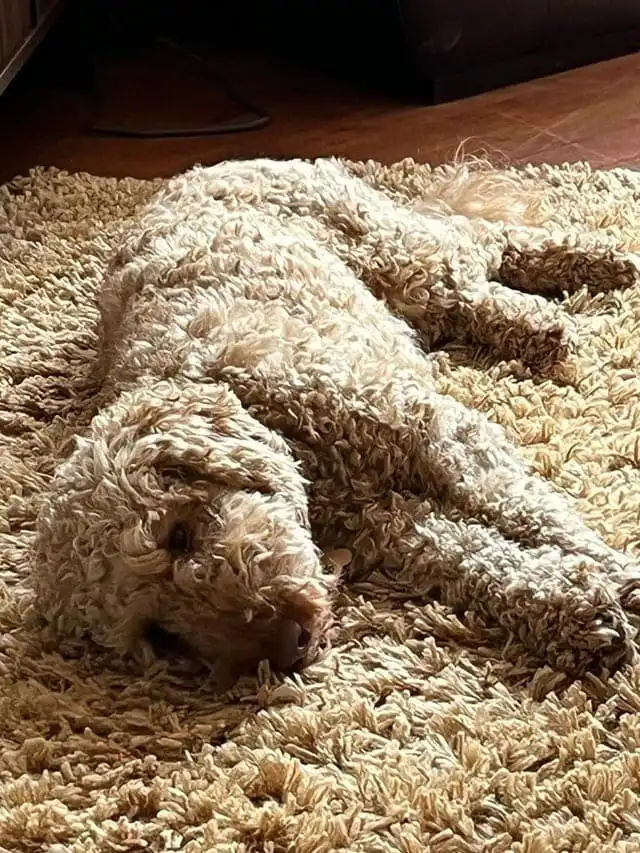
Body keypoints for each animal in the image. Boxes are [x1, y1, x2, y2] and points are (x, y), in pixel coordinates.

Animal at [32, 157, 640, 686]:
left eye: (178, 535)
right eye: (160, 635)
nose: (284, 647)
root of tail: (200, 168)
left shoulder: (440, 436)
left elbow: (537, 515)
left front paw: (615, 572)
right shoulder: (388, 522)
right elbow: (470, 557)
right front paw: (568, 610)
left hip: (395, 257)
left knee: (479, 243)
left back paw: (577, 281)